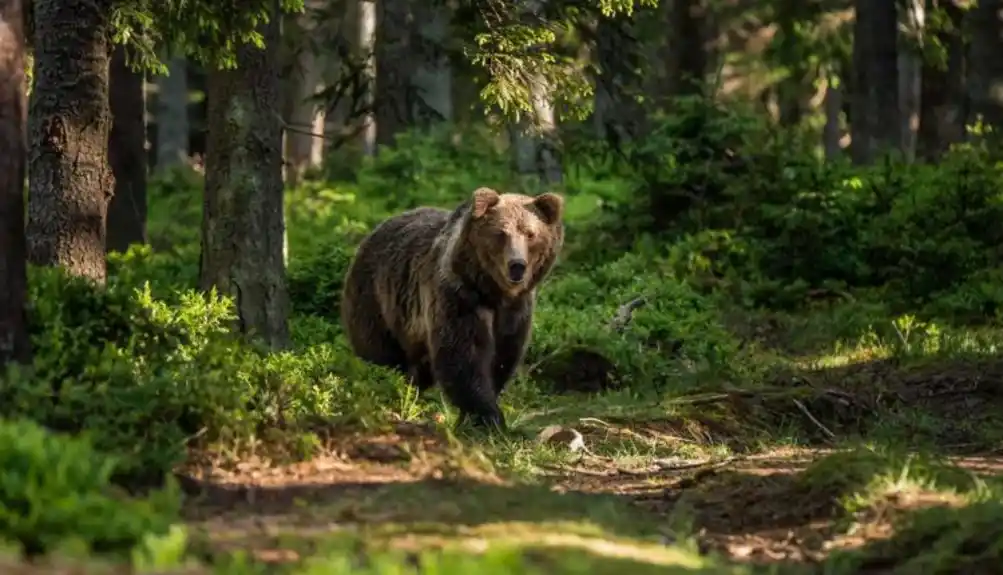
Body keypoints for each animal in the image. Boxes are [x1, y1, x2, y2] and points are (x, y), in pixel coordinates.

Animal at [341, 185, 565, 427]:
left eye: (530, 234)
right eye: (501, 233)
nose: (517, 266)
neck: (494, 293)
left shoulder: (515, 312)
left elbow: (503, 356)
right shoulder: (459, 297)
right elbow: (463, 356)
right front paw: (488, 416)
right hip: (378, 299)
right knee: (381, 354)